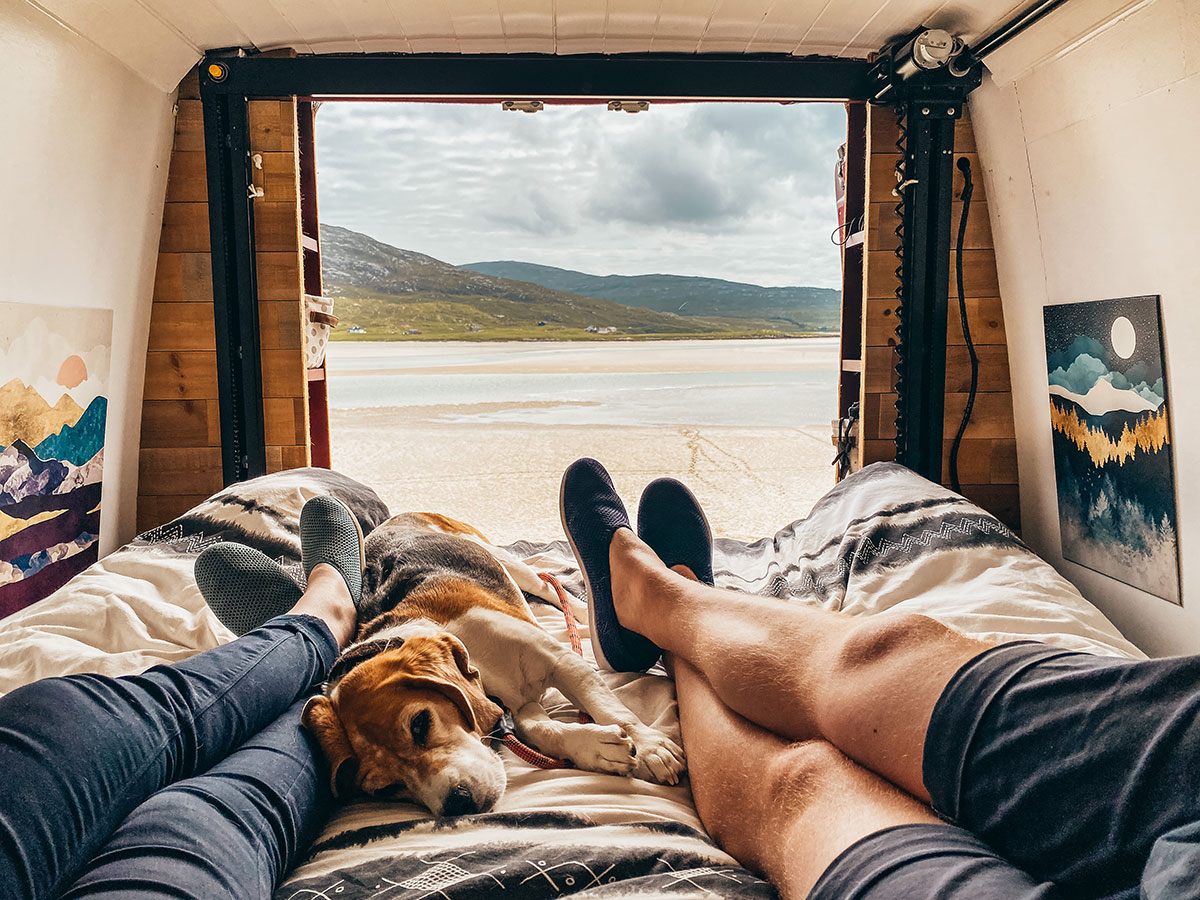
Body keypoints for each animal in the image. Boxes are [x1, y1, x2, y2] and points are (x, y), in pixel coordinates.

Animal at [304, 513, 691, 816]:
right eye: (387, 789)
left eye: (420, 724)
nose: (458, 804)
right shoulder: (522, 706)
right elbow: (541, 730)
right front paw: (598, 749)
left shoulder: (562, 661)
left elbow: (613, 710)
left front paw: (651, 749)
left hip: (502, 559)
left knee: (547, 585)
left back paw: (584, 617)